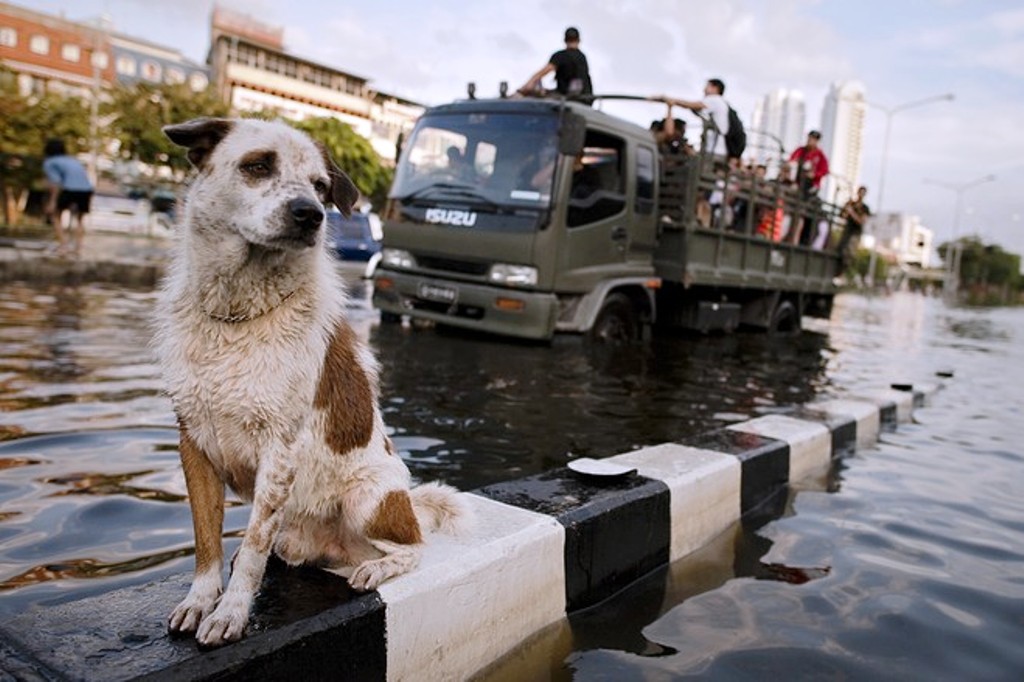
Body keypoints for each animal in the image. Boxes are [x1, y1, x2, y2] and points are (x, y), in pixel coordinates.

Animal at [156, 119, 471, 647]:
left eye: (320, 186)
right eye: (258, 165)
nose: (311, 214)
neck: (236, 314)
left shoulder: (278, 451)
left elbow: (254, 546)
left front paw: (231, 612)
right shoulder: (193, 443)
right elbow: (207, 543)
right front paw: (199, 601)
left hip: (369, 499)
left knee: (413, 546)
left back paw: (376, 568)